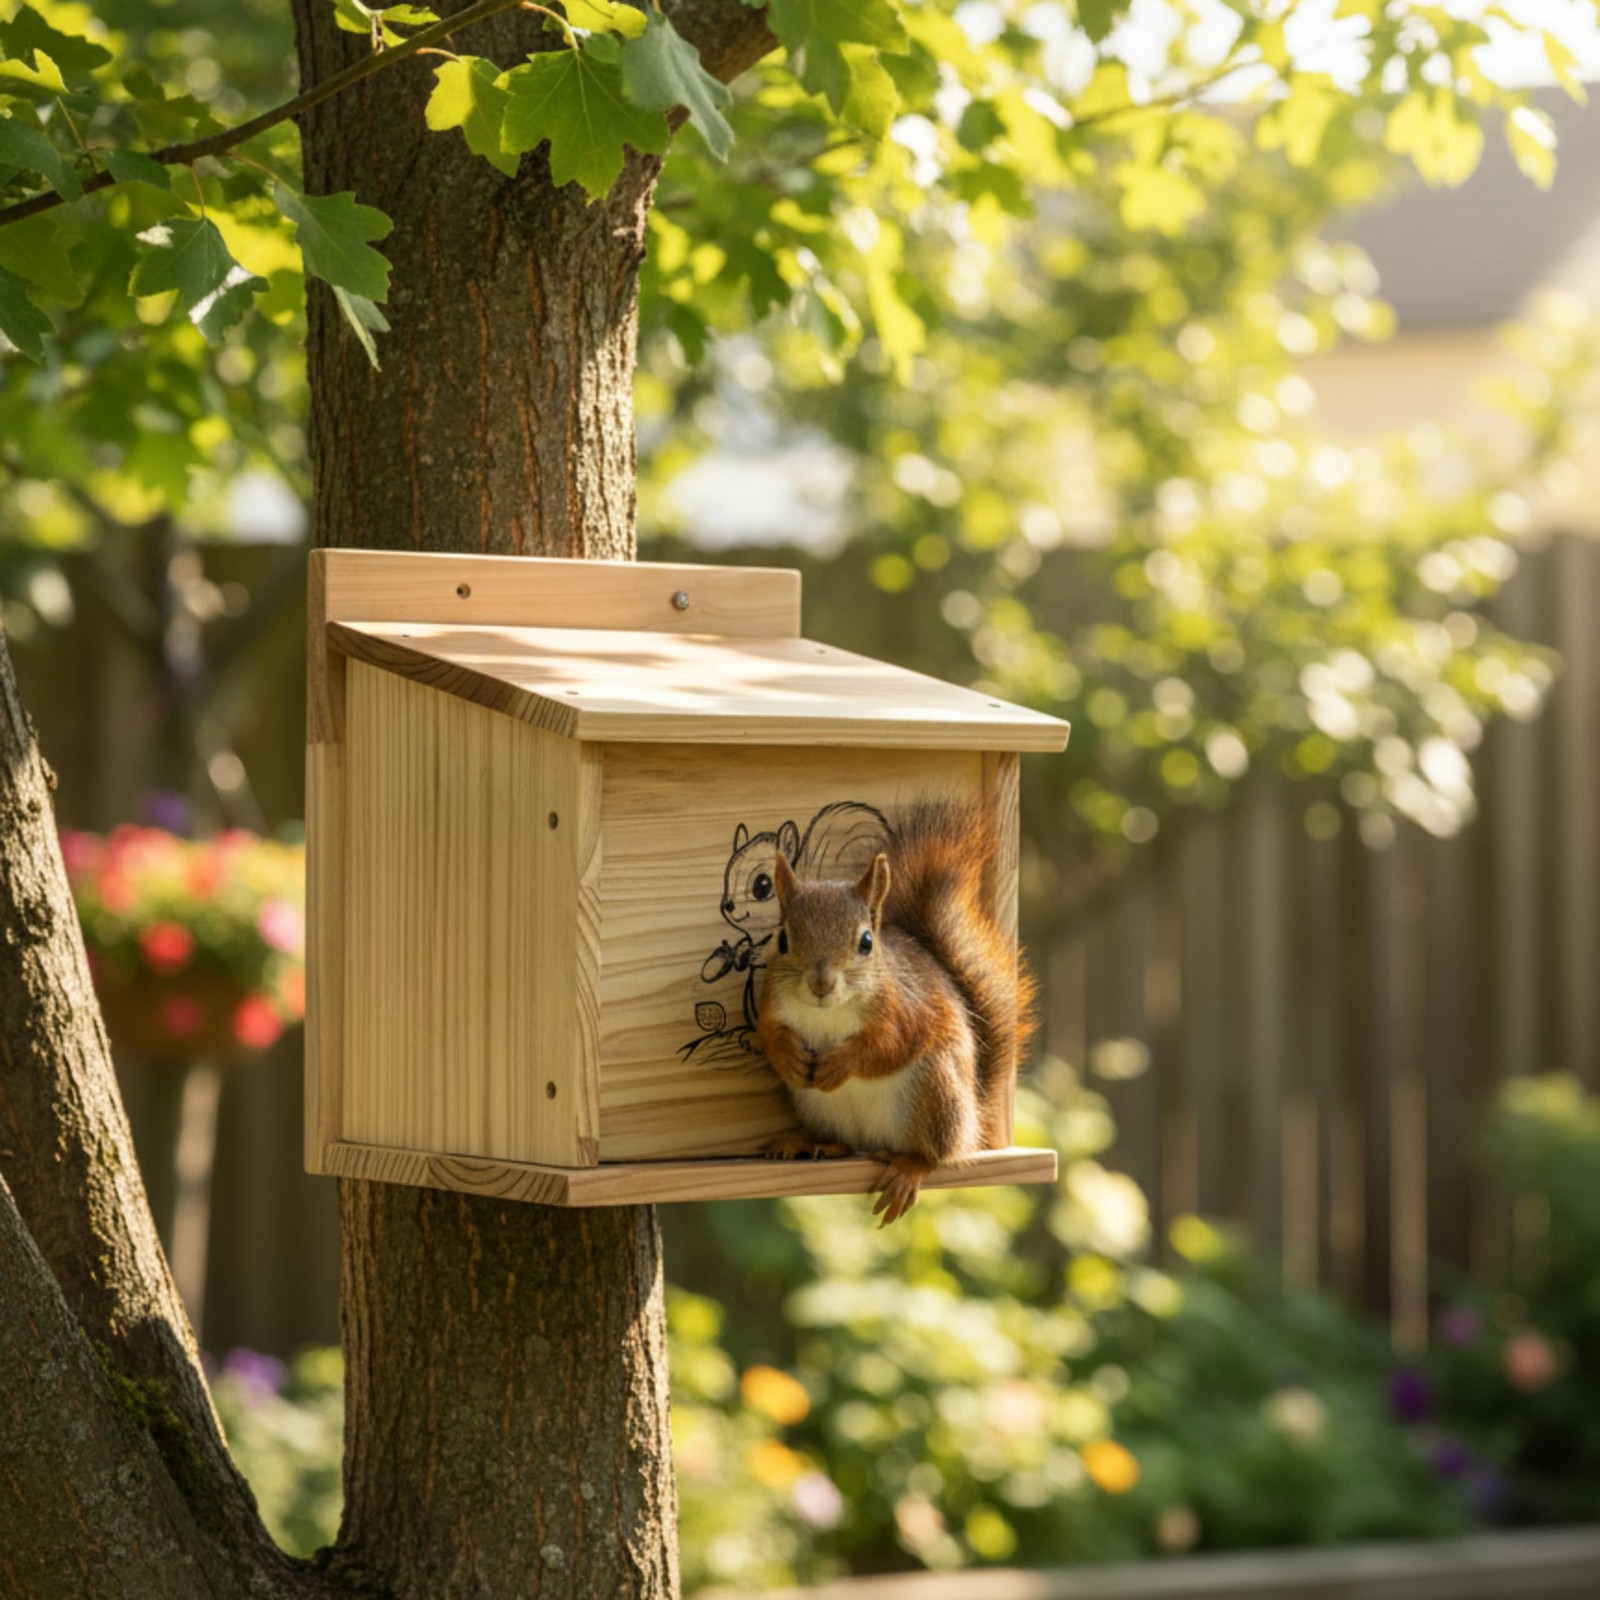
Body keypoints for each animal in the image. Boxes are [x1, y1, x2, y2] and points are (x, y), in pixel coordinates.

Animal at [756, 799, 1036, 1224]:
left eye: (866, 942)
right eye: (783, 939)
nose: (820, 984)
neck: (827, 1012)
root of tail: (975, 1120)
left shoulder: (908, 1007)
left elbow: (892, 1044)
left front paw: (842, 1062)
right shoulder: (772, 1003)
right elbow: (769, 1033)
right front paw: (788, 1056)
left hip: (936, 1092)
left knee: (937, 1154)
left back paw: (909, 1168)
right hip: (819, 1108)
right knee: (847, 1142)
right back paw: (810, 1144)